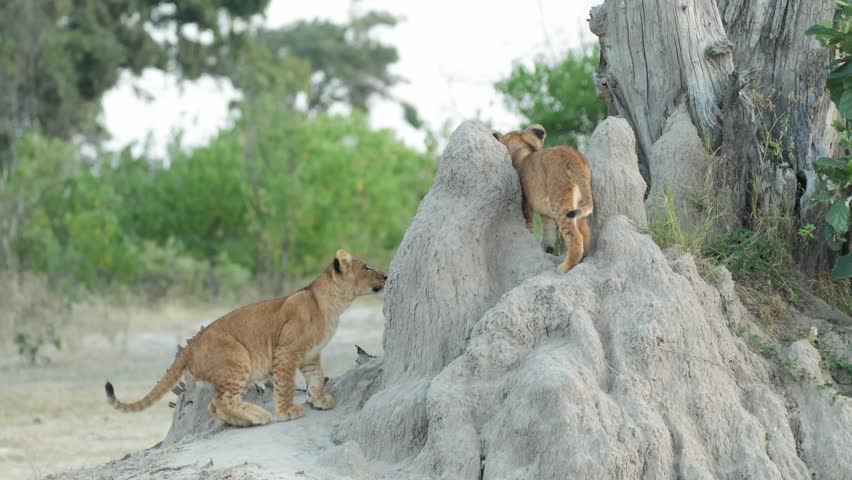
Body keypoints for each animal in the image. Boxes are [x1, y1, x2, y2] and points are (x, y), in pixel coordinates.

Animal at [105, 250, 386, 427]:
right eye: (366, 266)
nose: (385, 275)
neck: (335, 306)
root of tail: (191, 345)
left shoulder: (310, 355)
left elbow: (316, 379)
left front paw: (319, 400)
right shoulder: (286, 352)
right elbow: (285, 385)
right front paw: (287, 411)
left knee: (213, 406)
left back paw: (244, 421)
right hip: (238, 361)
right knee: (221, 401)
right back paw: (258, 415)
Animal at [498, 124, 593, 273]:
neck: (524, 153)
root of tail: (574, 156)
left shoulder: (525, 206)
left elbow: (530, 230)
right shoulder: (547, 216)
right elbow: (549, 236)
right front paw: (548, 252)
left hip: (560, 201)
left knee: (576, 237)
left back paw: (565, 268)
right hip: (581, 200)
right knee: (585, 233)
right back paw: (581, 262)